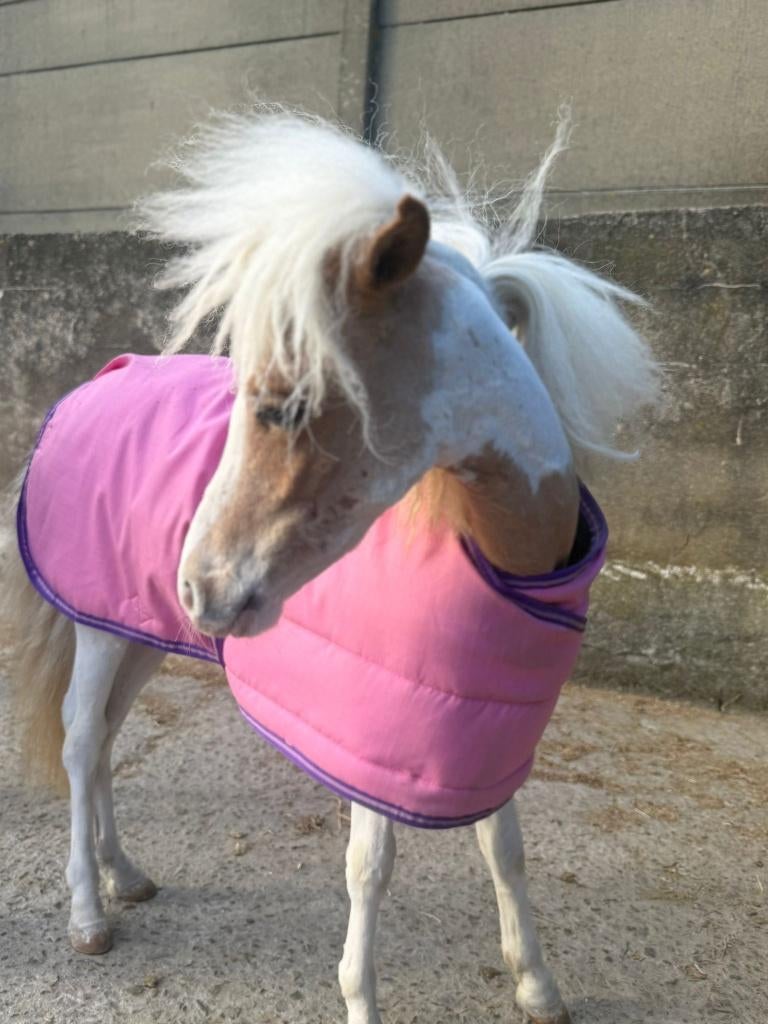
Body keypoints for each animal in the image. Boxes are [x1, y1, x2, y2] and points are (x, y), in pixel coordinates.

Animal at [1, 108, 659, 1024]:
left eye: (286, 406)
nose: (200, 585)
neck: (507, 559)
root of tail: (89, 385)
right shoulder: (371, 741)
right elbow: (369, 870)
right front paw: (362, 1000)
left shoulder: (483, 738)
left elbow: (505, 848)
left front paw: (535, 982)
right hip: (96, 633)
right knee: (78, 741)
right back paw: (88, 914)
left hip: (135, 633)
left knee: (103, 742)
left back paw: (125, 875)